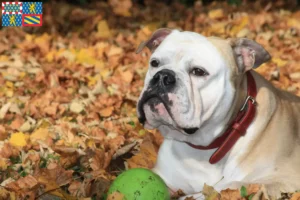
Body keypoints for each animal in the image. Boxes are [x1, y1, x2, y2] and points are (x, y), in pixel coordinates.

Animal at [135, 28, 300, 198]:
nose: (163, 76)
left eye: (198, 71)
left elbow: (224, 187)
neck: (201, 148)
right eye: (155, 63)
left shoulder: (283, 178)